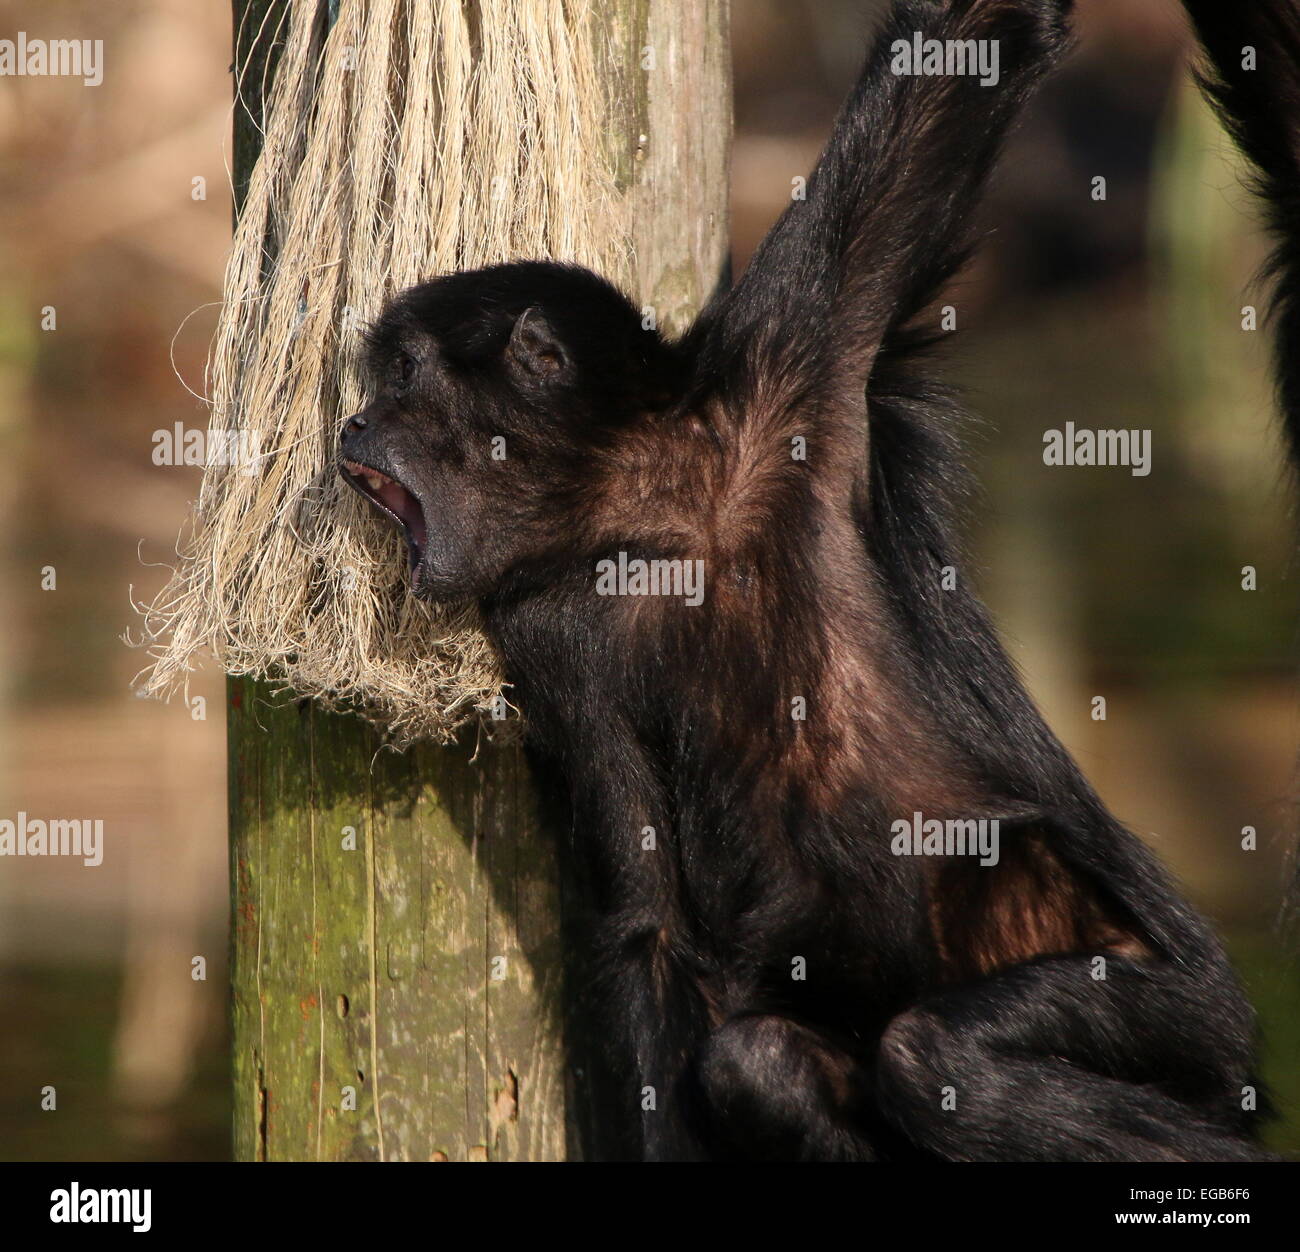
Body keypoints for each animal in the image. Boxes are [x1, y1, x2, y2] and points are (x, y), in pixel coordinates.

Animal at [340, 0, 1294, 1164]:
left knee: (938, 1054)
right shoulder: (549, 629)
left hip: (1179, 1007)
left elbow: (962, 44)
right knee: (766, 1062)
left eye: (402, 374)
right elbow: (653, 925)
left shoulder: (797, 356)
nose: (354, 422)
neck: (665, 512)